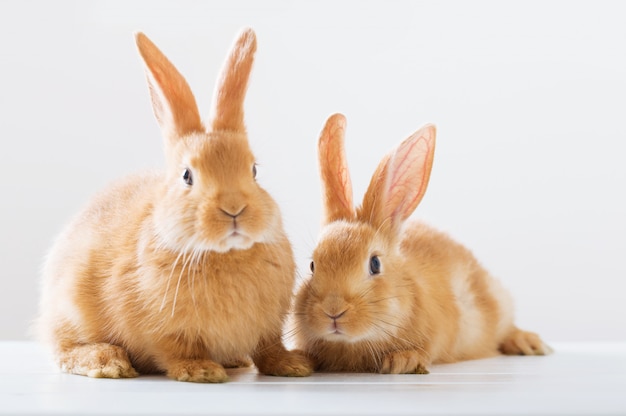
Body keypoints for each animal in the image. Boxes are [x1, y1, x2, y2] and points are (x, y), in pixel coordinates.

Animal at [35, 27, 312, 382]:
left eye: (253, 170)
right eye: (187, 176)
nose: (234, 208)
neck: (224, 254)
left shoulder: (269, 327)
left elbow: (269, 348)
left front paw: (293, 365)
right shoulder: (164, 331)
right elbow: (177, 350)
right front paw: (201, 371)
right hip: (70, 309)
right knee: (63, 349)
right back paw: (107, 362)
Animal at [290, 114, 548, 374]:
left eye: (375, 264)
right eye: (312, 266)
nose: (333, 310)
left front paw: (403, 361)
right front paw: (299, 360)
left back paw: (528, 343)